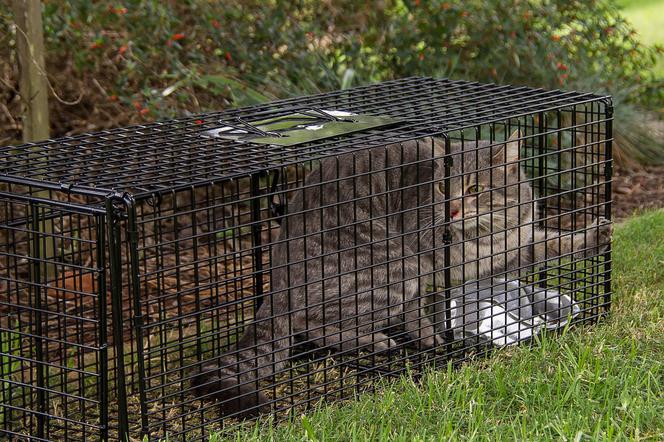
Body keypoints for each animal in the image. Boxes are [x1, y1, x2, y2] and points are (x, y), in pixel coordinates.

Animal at [191, 130, 612, 414]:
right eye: (443, 189)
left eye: (475, 188)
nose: (452, 209)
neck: (485, 235)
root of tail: (278, 272)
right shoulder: (420, 265)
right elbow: (418, 315)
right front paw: (433, 339)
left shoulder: (511, 250)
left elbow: (553, 244)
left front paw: (595, 236)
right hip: (389, 265)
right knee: (310, 322)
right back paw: (374, 340)